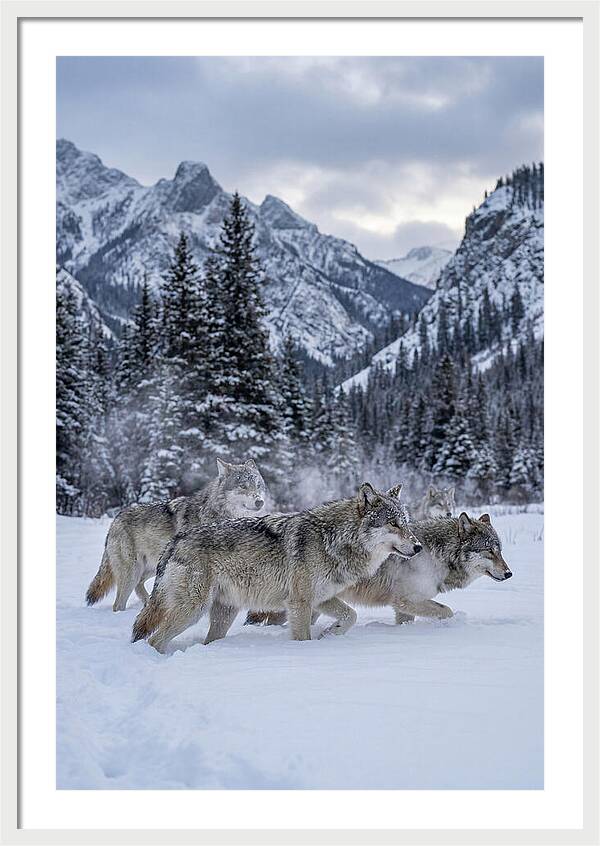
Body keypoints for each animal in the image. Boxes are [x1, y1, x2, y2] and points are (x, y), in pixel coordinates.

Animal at [85, 458, 267, 612]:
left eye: (258, 485)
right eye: (243, 485)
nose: (260, 502)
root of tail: (116, 518)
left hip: (153, 567)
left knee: (139, 586)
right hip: (132, 572)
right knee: (118, 604)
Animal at [131, 482, 422, 652]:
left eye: (406, 522)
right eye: (393, 523)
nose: (418, 546)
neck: (334, 539)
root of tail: (175, 540)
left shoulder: (321, 598)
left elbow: (351, 615)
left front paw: (330, 634)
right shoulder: (300, 603)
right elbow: (303, 637)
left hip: (224, 614)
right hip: (192, 611)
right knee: (154, 639)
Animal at [339, 512, 512, 624]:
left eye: (499, 551)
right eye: (489, 550)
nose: (509, 574)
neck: (437, 556)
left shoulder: (403, 607)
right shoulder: (406, 600)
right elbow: (447, 610)